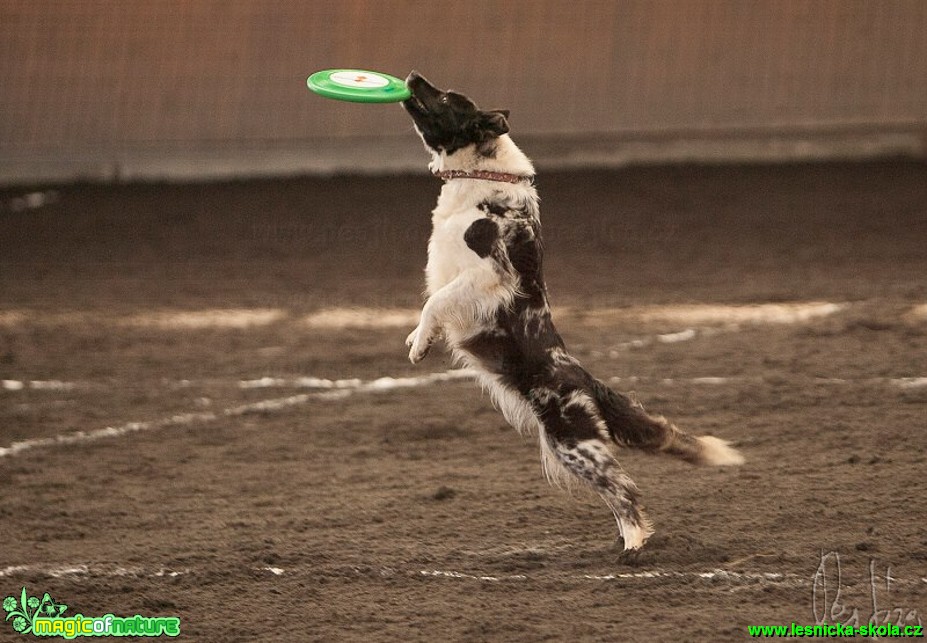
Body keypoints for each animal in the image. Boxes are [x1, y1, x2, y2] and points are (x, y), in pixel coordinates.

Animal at [402, 74, 744, 548]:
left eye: (449, 99)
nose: (413, 77)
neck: (480, 180)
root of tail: (586, 380)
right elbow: (429, 305)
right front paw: (418, 339)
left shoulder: (488, 274)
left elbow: (434, 301)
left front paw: (418, 347)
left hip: (573, 444)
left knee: (625, 490)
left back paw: (634, 544)